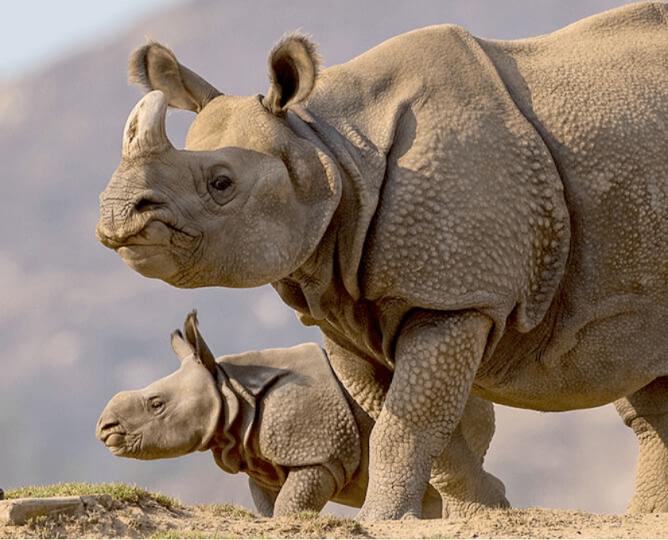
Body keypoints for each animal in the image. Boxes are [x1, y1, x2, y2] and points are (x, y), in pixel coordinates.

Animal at [96, 310, 460, 516]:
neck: (232, 391)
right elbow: (269, 510)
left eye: (156, 404)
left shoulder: (320, 454)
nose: (104, 428)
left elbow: (289, 508)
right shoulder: (259, 459)